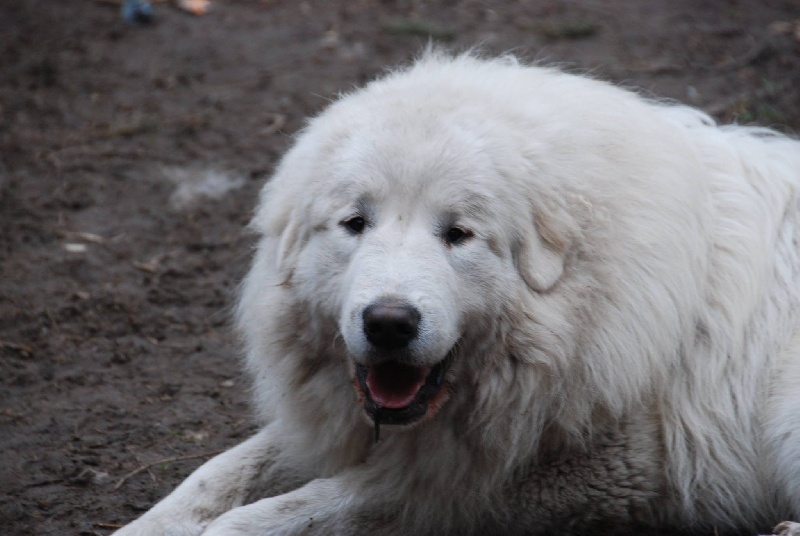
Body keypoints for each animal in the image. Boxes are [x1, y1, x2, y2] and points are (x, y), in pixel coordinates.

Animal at [115, 51, 800, 536]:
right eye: (355, 223)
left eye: (458, 234)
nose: (389, 323)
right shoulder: (349, 428)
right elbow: (211, 479)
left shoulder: (547, 479)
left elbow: (275, 514)